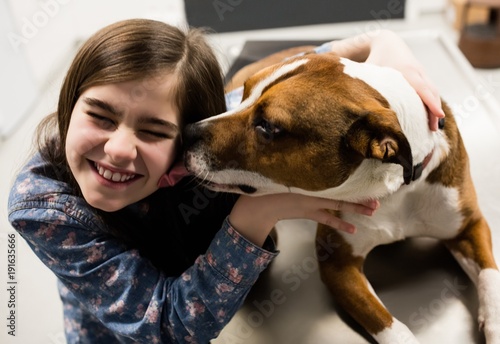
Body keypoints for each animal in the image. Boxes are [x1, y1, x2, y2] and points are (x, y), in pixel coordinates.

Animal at [183, 47, 500, 342]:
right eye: (245, 95)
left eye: (268, 127)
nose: (187, 132)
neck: (396, 187)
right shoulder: (338, 266)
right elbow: (389, 325)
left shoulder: (469, 226)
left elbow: (490, 278)